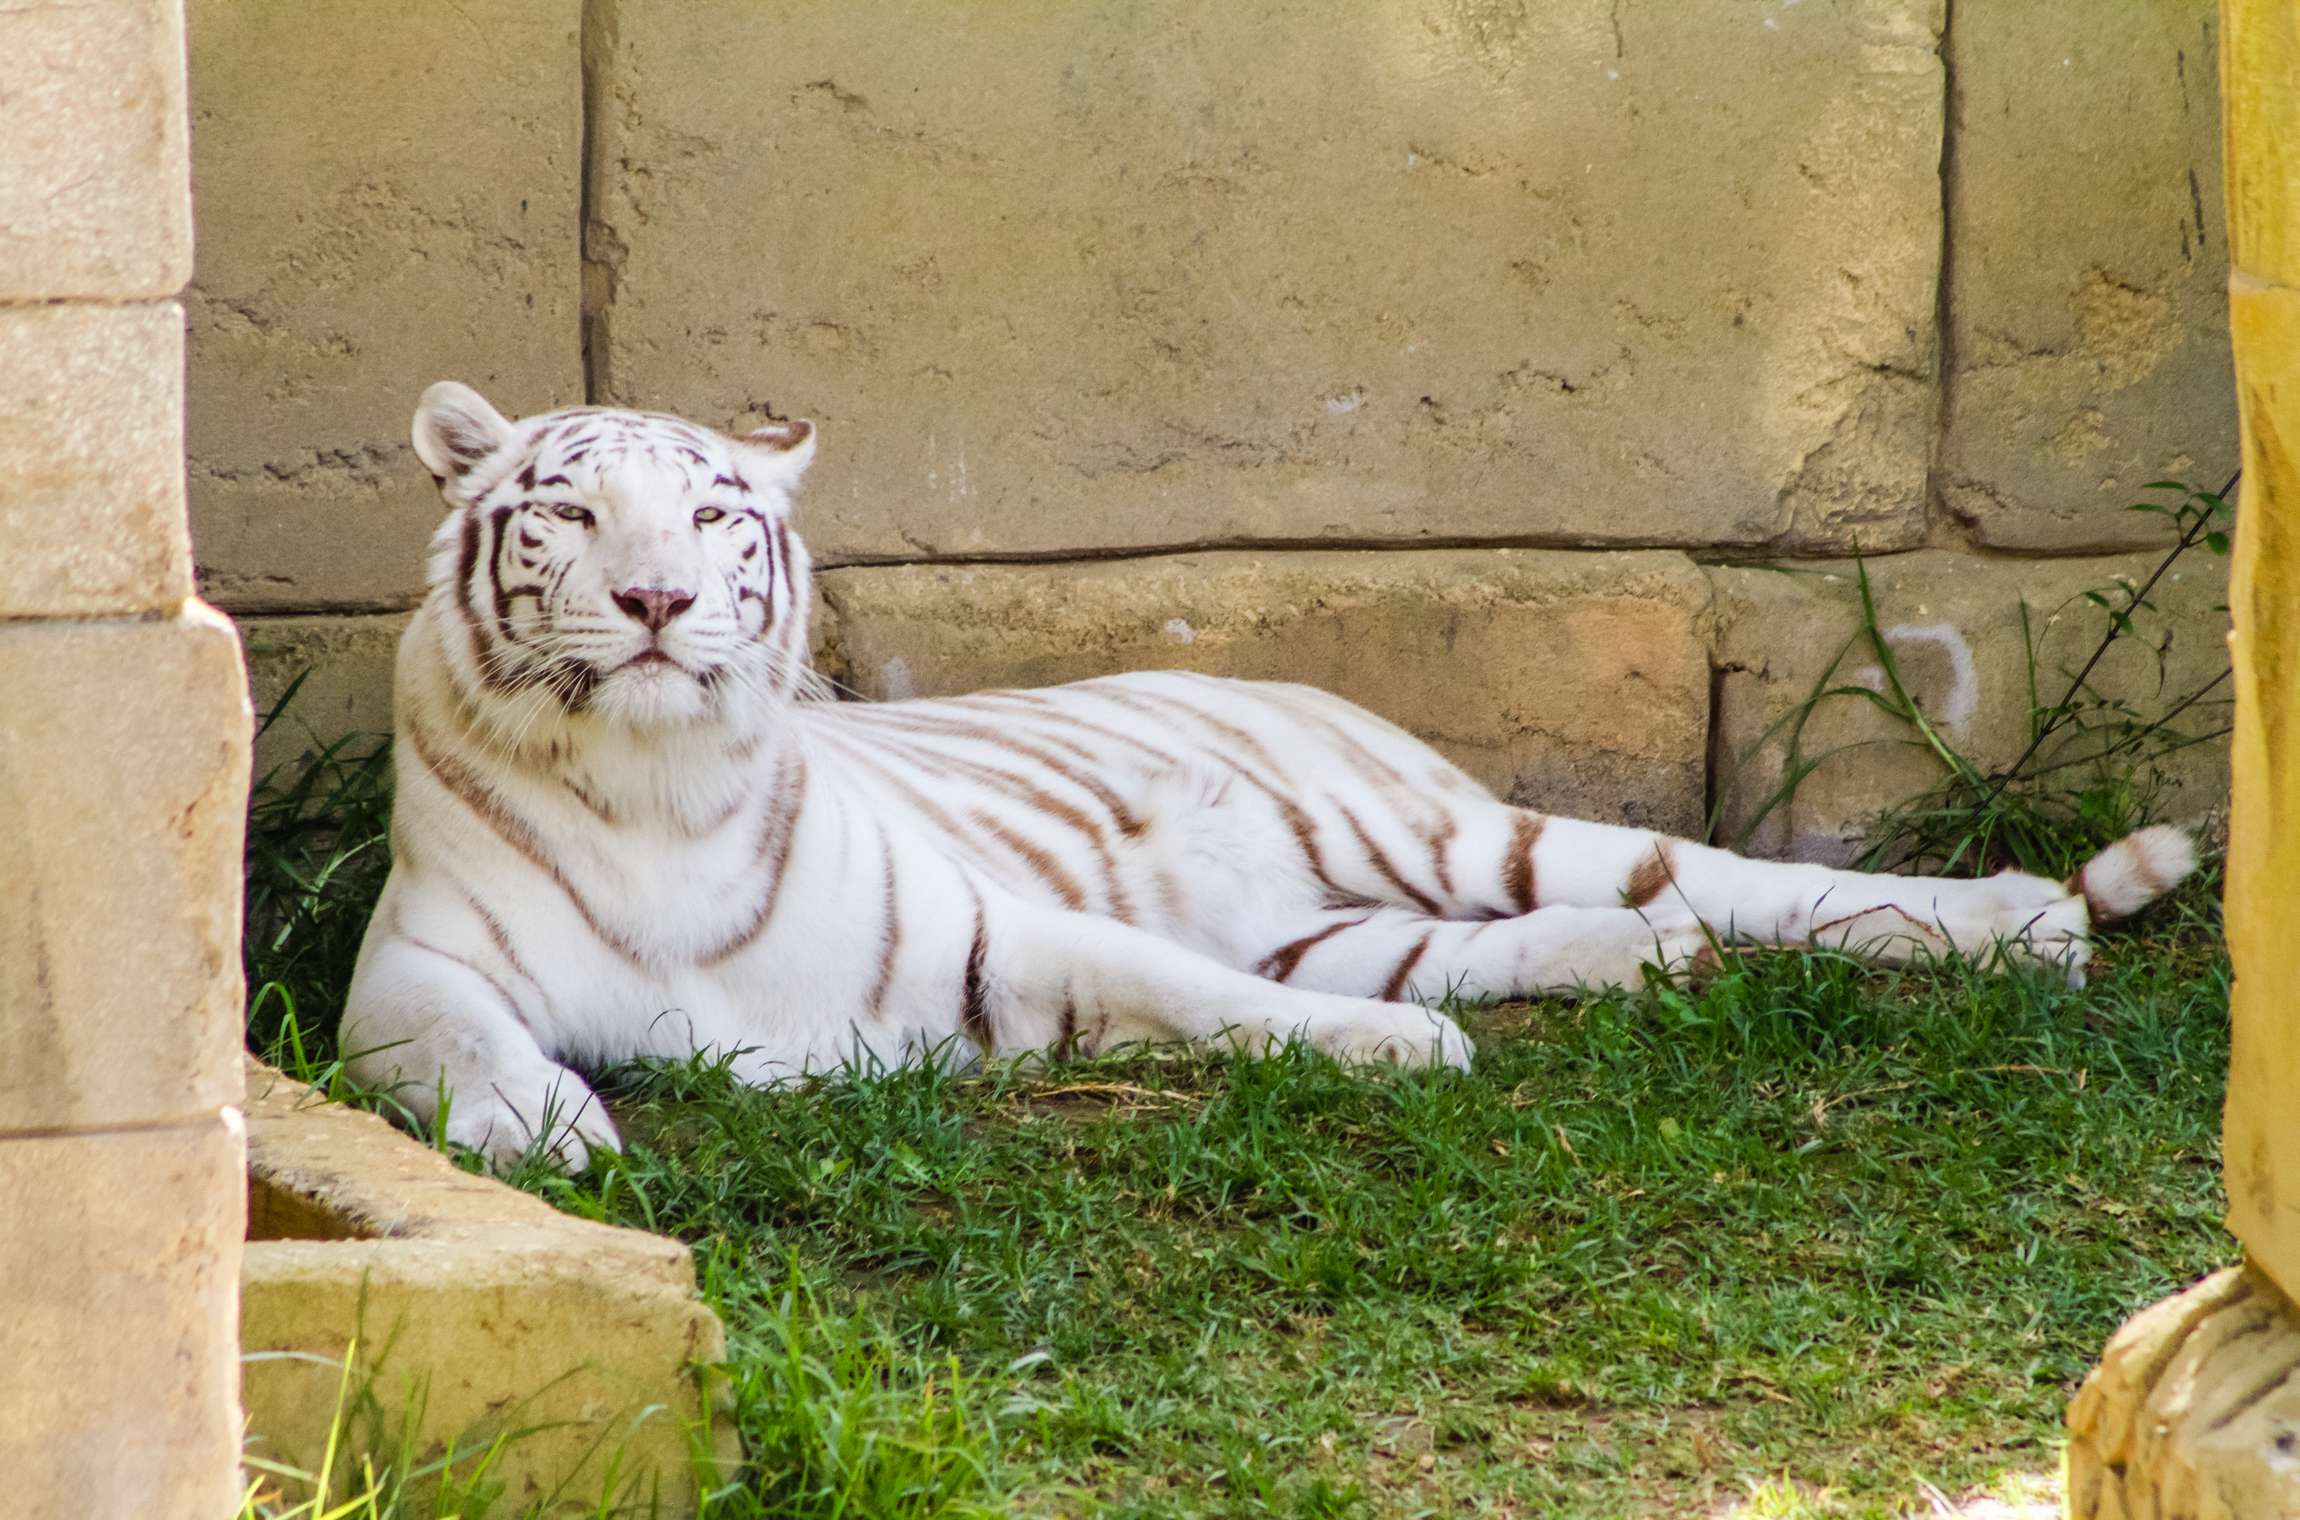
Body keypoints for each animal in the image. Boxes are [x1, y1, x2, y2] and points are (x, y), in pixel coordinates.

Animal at [341, 382, 2201, 1168]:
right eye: (573, 511)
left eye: (717, 514)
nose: (658, 601)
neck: (657, 784)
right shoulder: (404, 967)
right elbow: (462, 1040)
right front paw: (540, 1122)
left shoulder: (992, 936)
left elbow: (1199, 994)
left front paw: (1396, 1064)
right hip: (1358, 910)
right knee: (1582, 931)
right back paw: (1644, 966)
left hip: (1446, 825)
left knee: (1745, 878)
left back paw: (2026, 923)